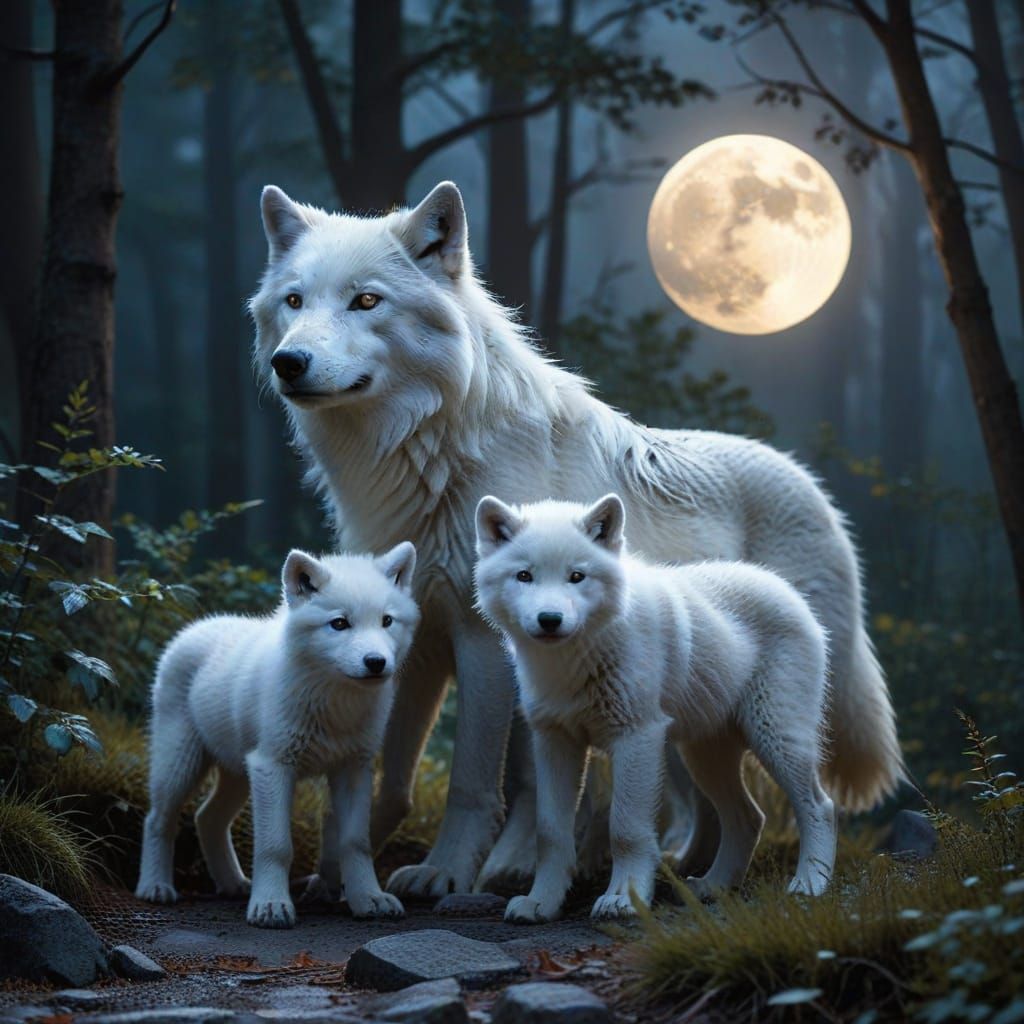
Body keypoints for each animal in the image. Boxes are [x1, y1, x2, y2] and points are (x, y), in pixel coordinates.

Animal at [134, 545, 419, 927]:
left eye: (387, 621)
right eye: (339, 623)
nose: (376, 662)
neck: (334, 702)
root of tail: (197, 626)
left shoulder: (354, 771)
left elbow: (355, 842)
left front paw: (368, 899)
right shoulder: (272, 766)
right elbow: (276, 846)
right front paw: (270, 906)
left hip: (238, 774)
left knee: (206, 818)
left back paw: (233, 884)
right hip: (181, 765)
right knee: (158, 820)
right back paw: (155, 887)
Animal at [474, 494, 836, 921]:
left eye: (576, 576)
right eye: (524, 576)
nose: (550, 619)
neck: (575, 661)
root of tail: (785, 587)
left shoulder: (637, 737)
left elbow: (626, 829)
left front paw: (623, 899)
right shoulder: (554, 742)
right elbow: (550, 832)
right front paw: (541, 903)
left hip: (776, 739)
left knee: (820, 806)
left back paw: (810, 883)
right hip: (704, 756)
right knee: (749, 818)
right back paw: (713, 887)